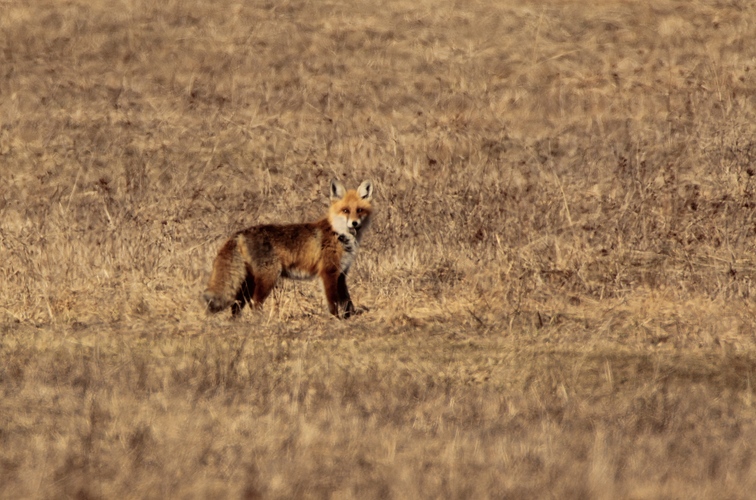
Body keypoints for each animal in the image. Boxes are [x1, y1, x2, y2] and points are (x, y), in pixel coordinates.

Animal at [204, 180, 376, 318]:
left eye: (359, 210)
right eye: (345, 210)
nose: (354, 223)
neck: (338, 234)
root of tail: (240, 233)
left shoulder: (341, 274)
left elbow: (347, 301)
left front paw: (350, 317)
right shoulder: (328, 272)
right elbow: (333, 302)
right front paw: (337, 320)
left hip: (250, 281)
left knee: (237, 304)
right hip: (268, 278)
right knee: (254, 303)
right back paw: (259, 323)